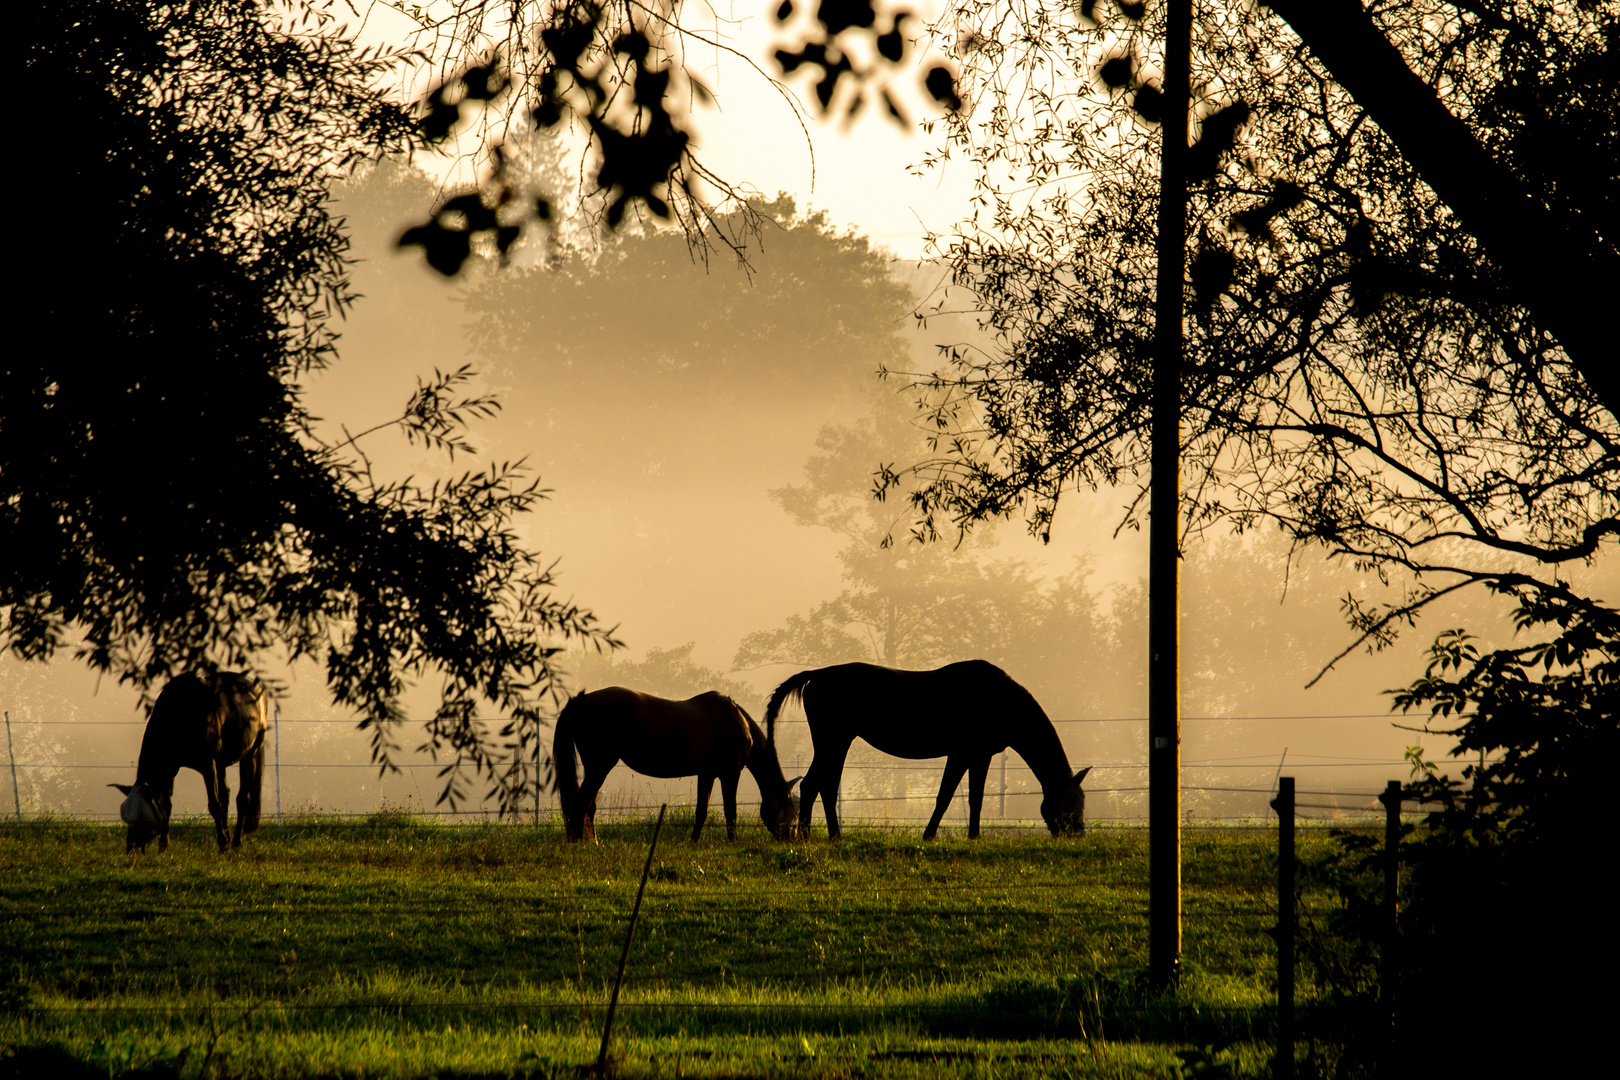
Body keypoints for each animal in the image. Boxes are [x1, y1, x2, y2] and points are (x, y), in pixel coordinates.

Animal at [109, 676, 265, 854]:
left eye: (142, 818)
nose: (131, 847)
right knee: (226, 795)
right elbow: (166, 805)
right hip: (221, 763)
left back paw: (236, 841)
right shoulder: (170, 769)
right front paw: (163, 845)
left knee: (243, 798)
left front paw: (222, 843)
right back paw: (228, 835)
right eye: (126, 817)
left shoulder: (208, 765)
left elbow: (214, 805)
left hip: (251, 753)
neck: (180, 713)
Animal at [554, 693, 800, 841]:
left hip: (596, 768)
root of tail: (580, 701)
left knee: (589, 806)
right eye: (788, 808)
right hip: (600, 767)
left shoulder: (707, 775)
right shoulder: (730, 774)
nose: (791, 837)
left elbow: (701, 811)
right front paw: (733, 842)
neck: (734, 722)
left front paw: (694, 841)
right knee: (580, 805)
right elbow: (731, 811)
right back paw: (582, 843)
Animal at [764, 660, 1095, 841]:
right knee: (814, 785)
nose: (1077, 833)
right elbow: (947, 796)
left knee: (822, 786)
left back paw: (828, 835)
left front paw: (971, 836)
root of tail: (817, 674)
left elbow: (973, 798)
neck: (1001, 700)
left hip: (836, 741)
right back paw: (813, 835)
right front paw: (933, 834)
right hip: (833, 740)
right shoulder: (962, 754)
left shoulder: (979, 756)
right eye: (1072, 804)